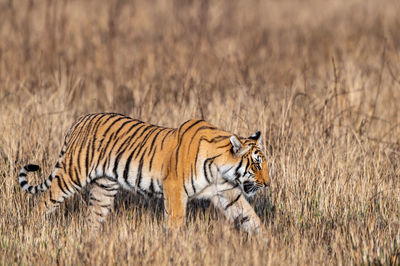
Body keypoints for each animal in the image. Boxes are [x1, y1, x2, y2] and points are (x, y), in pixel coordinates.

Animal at [17, 113, 270, 234]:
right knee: (44, 202)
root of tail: (80, 120)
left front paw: (270, 244)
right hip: (72, 175)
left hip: (104, 188)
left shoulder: (227, 194)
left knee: (93, 218)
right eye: (257, 165)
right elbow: (176, 222)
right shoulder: (175, 189)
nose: (268, 184)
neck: (220, 169)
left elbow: (251, 218)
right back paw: (31, 227)